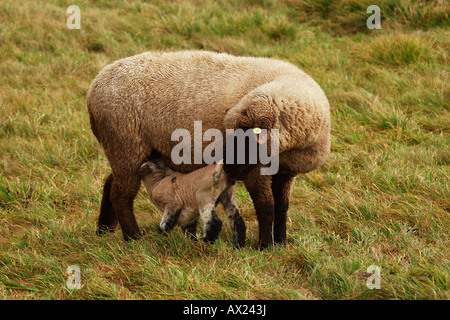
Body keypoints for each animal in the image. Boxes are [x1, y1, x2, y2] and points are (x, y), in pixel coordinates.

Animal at [88, 50, 330, 250]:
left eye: (250, 140)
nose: (228, 170)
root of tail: (95, 86)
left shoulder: (285, 172)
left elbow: (282, 206)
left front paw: (281, 243)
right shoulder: (256, 171)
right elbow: (266, 205)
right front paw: (265, 247)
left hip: (127, 149)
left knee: (110, 183)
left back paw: (104, 230)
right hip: (125, 142)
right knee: (121, 194)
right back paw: (133, 238)